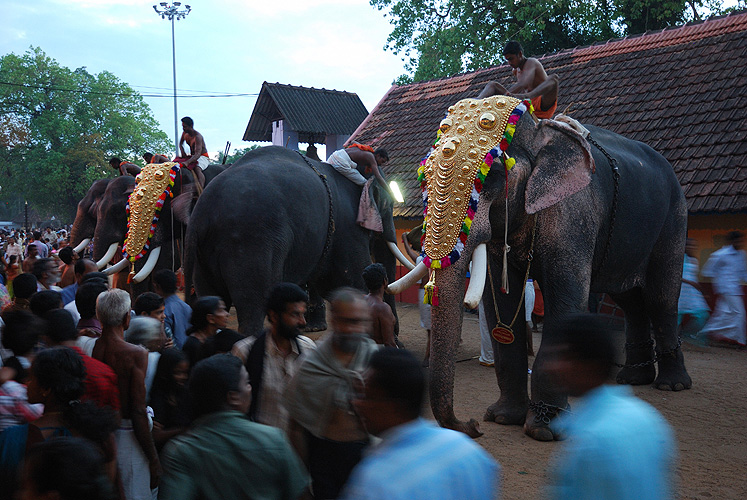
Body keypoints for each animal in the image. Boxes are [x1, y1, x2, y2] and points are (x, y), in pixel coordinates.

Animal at [183, 146, 412, 336]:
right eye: (388, 204)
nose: (395, 333)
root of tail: (201, 213)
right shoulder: (347, 227)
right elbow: (353, 279)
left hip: (204, 255)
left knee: (212, 299)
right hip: (250, 243)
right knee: (252, 304)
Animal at [388, 96, 692, 442]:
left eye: (490, 175)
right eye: (423, 176)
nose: (474, 426)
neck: (537, 131)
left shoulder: (572, 215)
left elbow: (564, 302)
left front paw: (545, 430)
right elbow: (500, 301)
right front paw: (503, 418)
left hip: (674, 219)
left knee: (661, 298)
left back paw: (671, 384)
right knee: (629, 300)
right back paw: (632, 379)